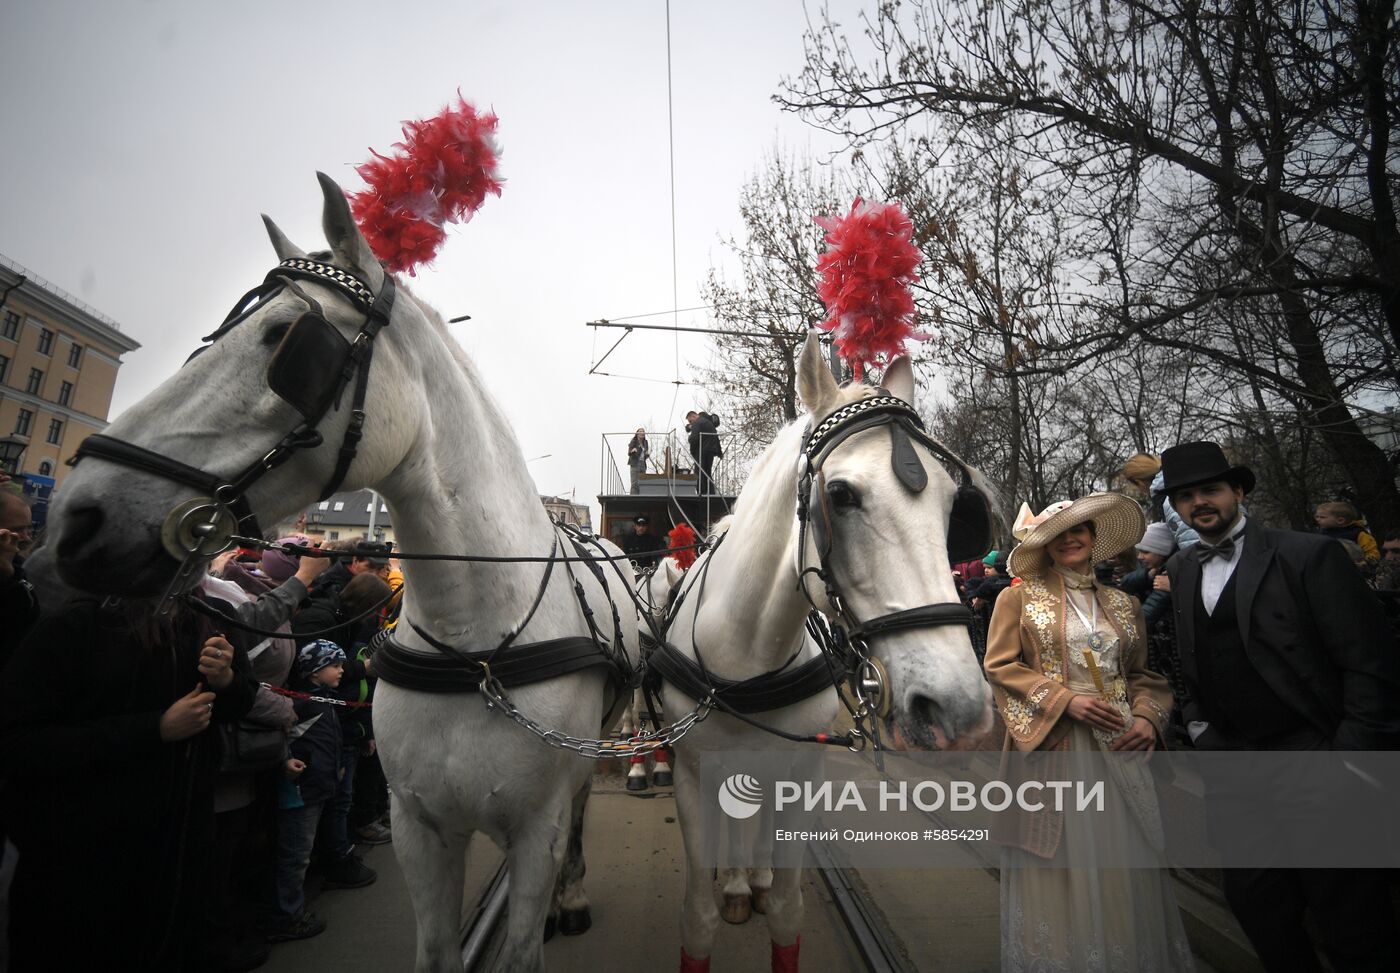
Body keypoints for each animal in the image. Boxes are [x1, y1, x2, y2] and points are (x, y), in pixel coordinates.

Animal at [36, 175, 641, 973]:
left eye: (286, 340)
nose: (76, 517)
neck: (474, 638)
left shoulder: (532, 832)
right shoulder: (419, 829)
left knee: (578, 809)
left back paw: (572, 897)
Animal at [660, 337, 991, 973]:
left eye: (950, 503)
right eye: (839, 495)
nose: (959, 709)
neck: (747, 652)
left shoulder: (800, 767)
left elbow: (788, 913)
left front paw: (764, 888)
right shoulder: (691, 774)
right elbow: (695, 922)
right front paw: (721, 895)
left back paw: (751, 879)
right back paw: (735, 882)